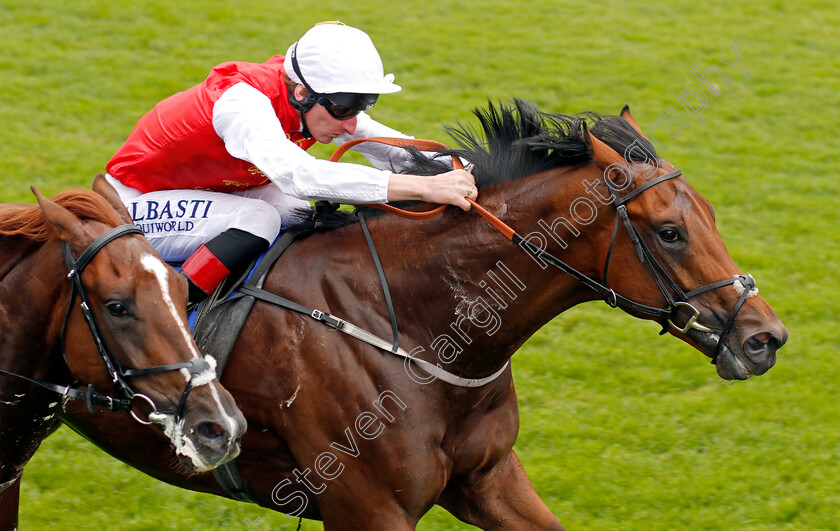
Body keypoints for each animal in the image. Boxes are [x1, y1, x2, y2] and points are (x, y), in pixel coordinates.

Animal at [55, 102, 784, 528]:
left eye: (709, 214)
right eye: (670, 232)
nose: (764, 337)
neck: (412, 324)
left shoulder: (489, 477)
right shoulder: (368, 508)